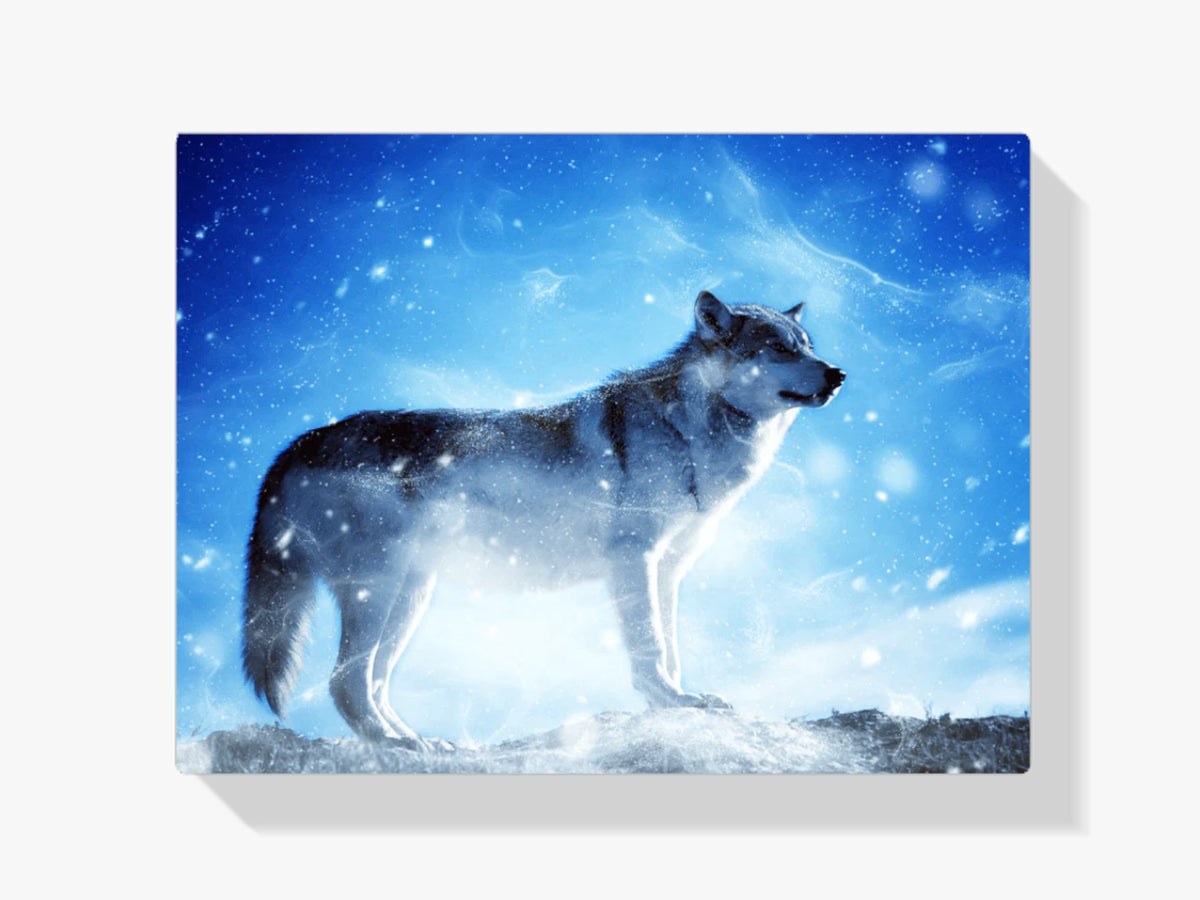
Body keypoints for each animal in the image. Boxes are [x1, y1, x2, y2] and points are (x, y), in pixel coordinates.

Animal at [242, 290, 845, 750]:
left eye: (807, 346)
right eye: (777, 349)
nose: (838, 374)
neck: (689, 430)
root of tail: (295, 445)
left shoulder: (669, 569)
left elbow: (671, 648)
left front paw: (679, 702)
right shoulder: (634, 559)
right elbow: (650, 647)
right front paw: (670, 702)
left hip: (410, 597)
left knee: (375, 683)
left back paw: (420, 741)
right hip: (379, 591)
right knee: (345, 684)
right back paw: (394, 746)